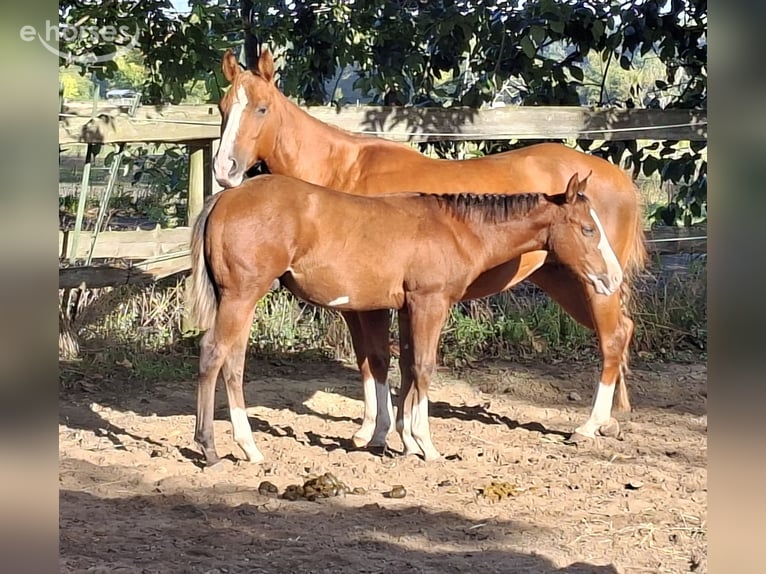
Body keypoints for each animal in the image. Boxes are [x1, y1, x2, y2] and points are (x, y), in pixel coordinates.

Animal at [189, 172, 623, 464]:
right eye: (588, 229)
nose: (613, 277)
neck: (455, 230)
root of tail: (224, 199)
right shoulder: (431, 303)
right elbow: (424, 368)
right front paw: (426, 445)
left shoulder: (407, 308)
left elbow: (407, 368)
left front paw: (405, 441)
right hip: (242, 295)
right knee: (214, 354)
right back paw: (211, 447)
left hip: (240, 300)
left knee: (233, 362)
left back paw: (248, 447)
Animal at [211, 48, 647, 448]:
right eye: (222, 108)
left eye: (262, 108)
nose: (224, 170)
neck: (346, 173)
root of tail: (618, 179)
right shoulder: (366, 300)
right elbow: (376, 361)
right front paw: (377, 430)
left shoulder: (377, 302)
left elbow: (382, 359)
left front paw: (388, 431)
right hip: (566, 279)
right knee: (622, 332)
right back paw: (613, 420)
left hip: (595, 282)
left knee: (612, 337)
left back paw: (589, 426)